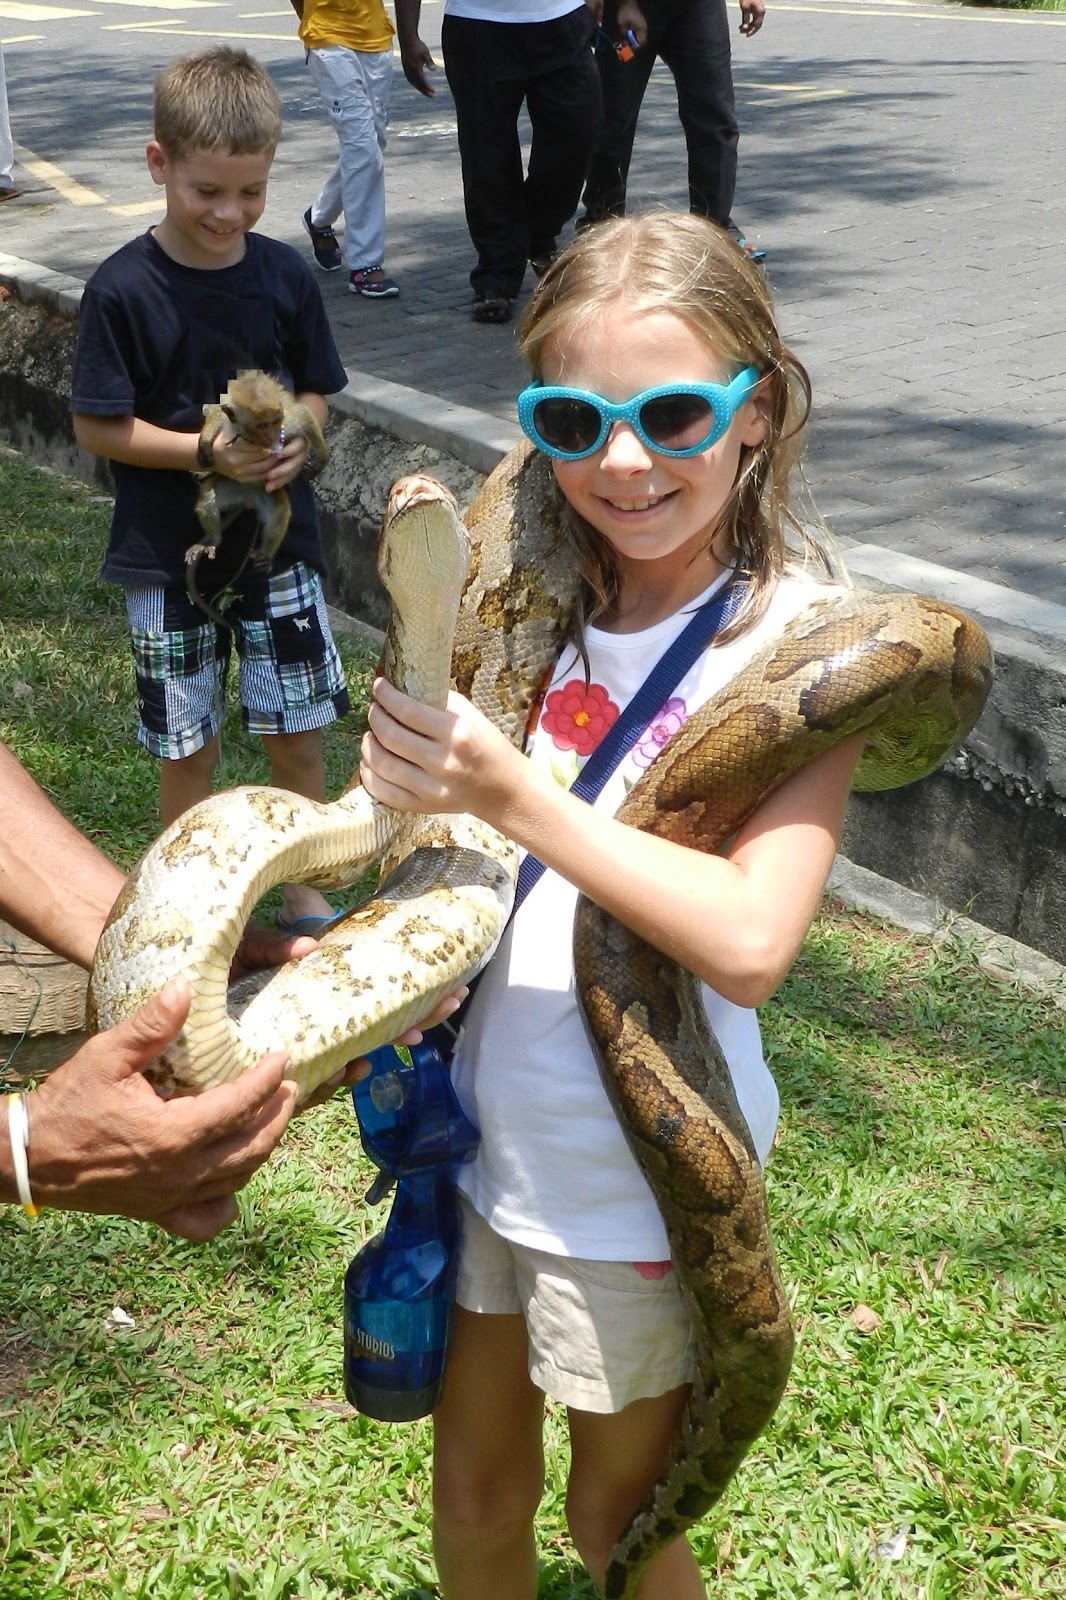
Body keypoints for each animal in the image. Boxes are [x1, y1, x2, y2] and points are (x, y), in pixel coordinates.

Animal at [186, 370, 330, 627]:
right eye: (261, 425)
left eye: (275, 423)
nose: (273, 435)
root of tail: (246, 498)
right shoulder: (227, 417)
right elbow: (213, 413)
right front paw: (204, 443)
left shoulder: (288, 421)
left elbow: (304, 415)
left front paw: (322, 457)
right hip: (230, 489)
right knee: (208, 497)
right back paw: (212, 540)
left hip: (266, 495)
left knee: (279, 511)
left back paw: (265, 553)